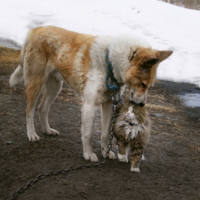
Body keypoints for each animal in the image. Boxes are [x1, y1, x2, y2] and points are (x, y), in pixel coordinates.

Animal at [9, 25, 172, 162]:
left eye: (149, 86)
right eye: (143, 84)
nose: (142, 104)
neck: (109, 62)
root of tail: (35, 30)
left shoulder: (108, 105)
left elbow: (105, 134)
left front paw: (106, 151)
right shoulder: (89, 105)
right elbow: (87, 134)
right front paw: (88, 154)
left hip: (55, 88)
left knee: (42, 108)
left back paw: (48, 130)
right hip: (35, 85)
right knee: (29, 111)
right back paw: (31, 134)